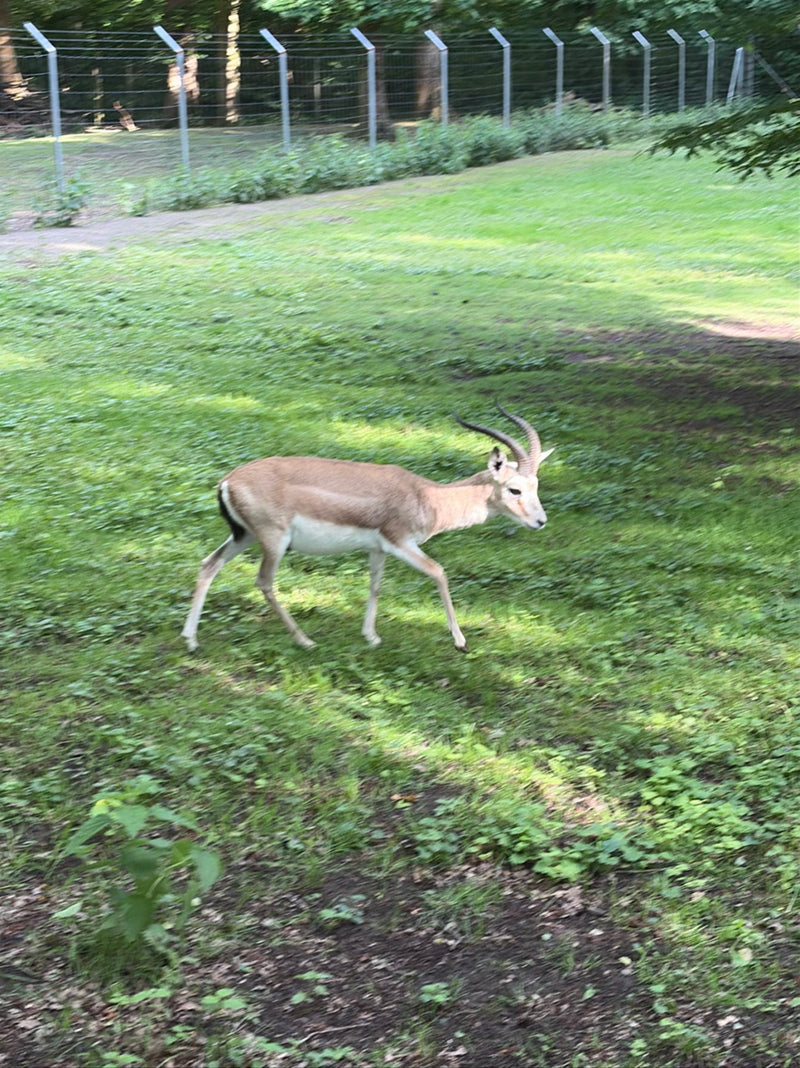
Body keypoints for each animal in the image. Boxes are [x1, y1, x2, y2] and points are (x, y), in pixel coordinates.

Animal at [182, 406, 553, 653]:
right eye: (514, 489)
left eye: (535, 485)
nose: (540, 522)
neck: (427, 496)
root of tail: (228, 480)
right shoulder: (401, 542)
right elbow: (439, 572)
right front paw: (461, 642)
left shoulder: (378, 548)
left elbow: (375, 586)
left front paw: (371, 636)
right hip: (274, 540)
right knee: (264, 582)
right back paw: (305, 640)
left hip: (243, 536)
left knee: (208, 565)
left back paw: (191, 640)